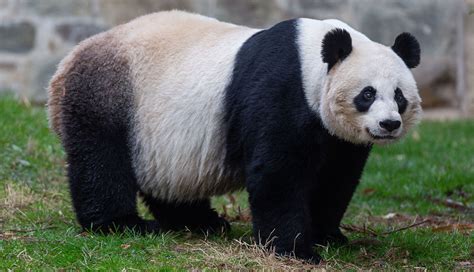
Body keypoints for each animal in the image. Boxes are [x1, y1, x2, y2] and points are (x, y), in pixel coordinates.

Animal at [46, 9, 420, 262]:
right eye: (367, 94)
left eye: (399, 96)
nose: (389, 124)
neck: (313, 61)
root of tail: (66, 63)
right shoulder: (281, 91)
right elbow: (277, 173)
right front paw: (296, 249)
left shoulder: (337, 138)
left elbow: (335, 178)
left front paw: (328, 235)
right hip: (106, 96)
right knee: (101, 162)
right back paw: (123, 224)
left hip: (155, 134)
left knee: (166, 180)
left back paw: (202, 222)